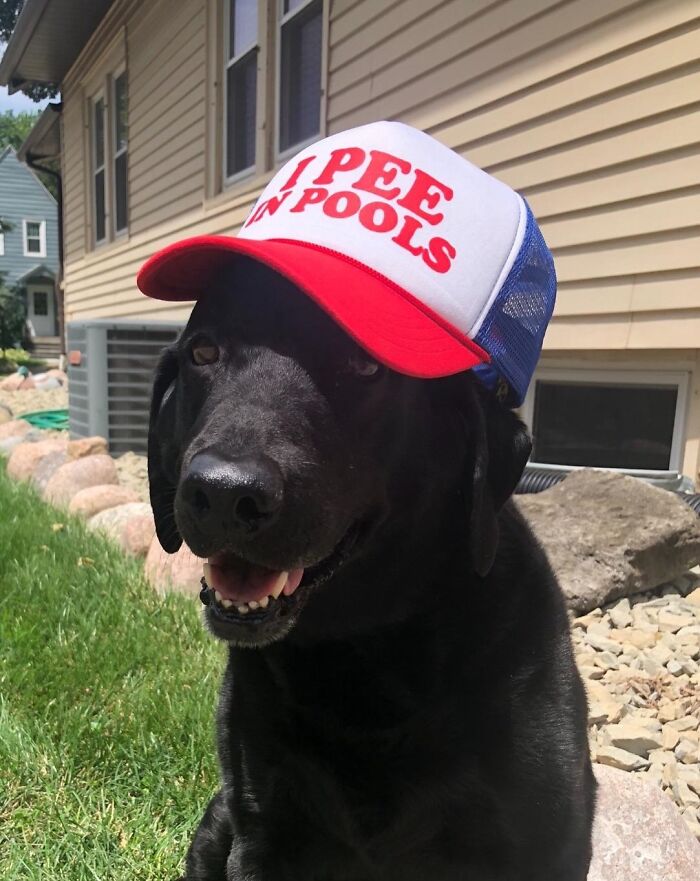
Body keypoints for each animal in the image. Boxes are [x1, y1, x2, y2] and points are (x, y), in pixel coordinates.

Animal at [149, 258, 596, 876]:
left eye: (364, 365)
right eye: (203, 353)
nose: (222, 493)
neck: (364, 656)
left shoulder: (545, 846)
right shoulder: (263, 830)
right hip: (216, 824)